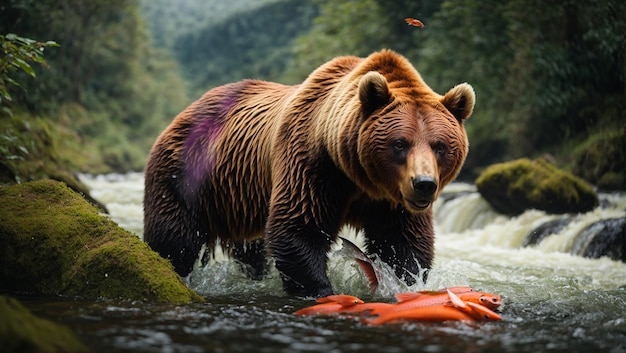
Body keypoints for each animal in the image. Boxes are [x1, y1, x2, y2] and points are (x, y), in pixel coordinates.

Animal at [143, 49, 472, 296]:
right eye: (400, 143)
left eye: (440, 146)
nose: (424, 184)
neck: (358, 177)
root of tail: (184, 111)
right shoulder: (312, 166)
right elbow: (298, 228)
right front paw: (322, 290)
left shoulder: (392, 200)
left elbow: (403, 242)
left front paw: (402, 282)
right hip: (186, 175)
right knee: (174, 238)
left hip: (238, 194)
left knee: (252, 250)